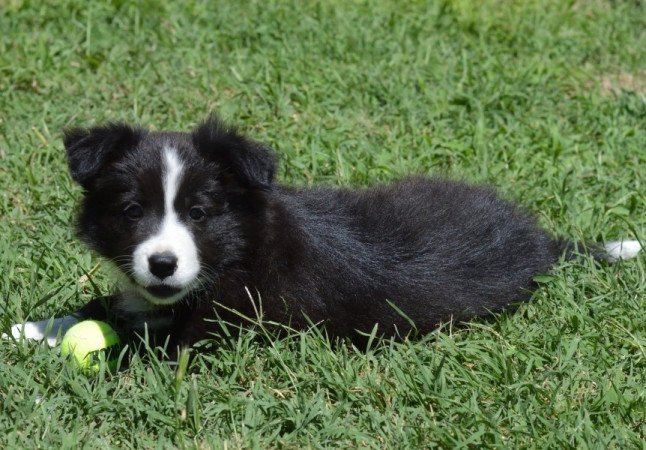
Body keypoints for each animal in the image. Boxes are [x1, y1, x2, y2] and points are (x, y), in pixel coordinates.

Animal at [6, 117, 644, 356]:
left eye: (201, 213)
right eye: (133, 210)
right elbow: (109, 307)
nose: (162, 264)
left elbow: (133, 341)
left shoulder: (224, 328)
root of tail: (540, 241)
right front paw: (34, 326)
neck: (240, 249)